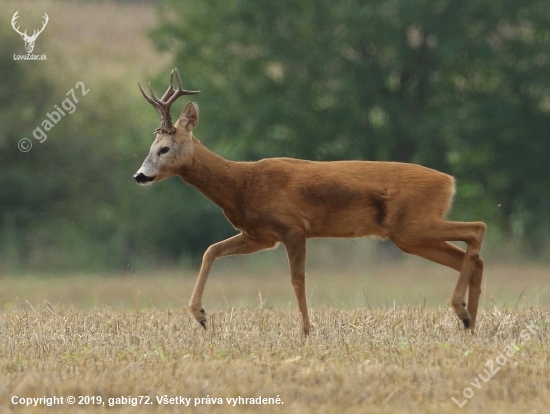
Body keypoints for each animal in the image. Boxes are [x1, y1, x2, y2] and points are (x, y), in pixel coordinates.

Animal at [134, 69, 488, 334]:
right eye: (151, 146)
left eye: (164, 148)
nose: (140, 176)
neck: (241, 184)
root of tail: (449, 181)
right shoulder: (260, 235)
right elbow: (210, 251)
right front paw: (201, 316)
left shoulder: (292, 227)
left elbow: (297, 280)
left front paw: (306, 330)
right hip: (409, 235)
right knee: (473, 257)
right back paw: (469, 323)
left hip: (412, 224)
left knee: (477, 228)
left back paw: (462, 311)